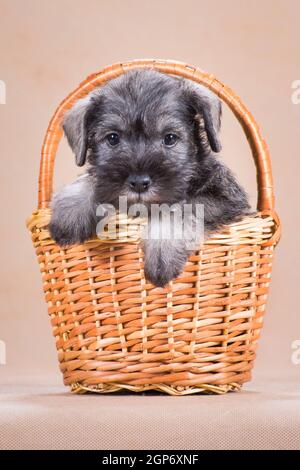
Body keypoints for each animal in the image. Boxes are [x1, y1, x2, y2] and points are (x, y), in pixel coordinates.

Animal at [49, 66, 251, 286]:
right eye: (113, 138)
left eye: (170, 138)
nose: (139, 183)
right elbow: (93, 178)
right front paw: (71, 210)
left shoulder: (224, 197)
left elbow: (180, 208)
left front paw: (162, 249)